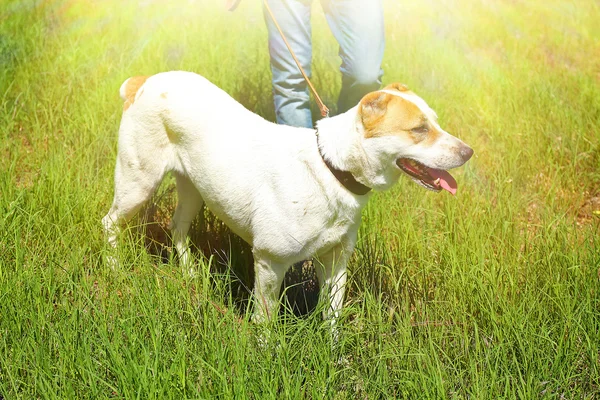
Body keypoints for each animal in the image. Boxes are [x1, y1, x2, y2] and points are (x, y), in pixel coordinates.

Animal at [103, 72, 474, 326]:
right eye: (419, 129)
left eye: (435, 122)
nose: (468, 152)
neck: (331, 168)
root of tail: (144, 81)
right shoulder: (269, 262)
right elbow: (265, 323)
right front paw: (267, 359)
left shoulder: (336, 262)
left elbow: (332, 319)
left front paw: (334, 361)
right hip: (138, 182)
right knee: (110, 222)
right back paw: (115, 269)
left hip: (195, 188)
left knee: (177, 227)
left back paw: (191, 274)